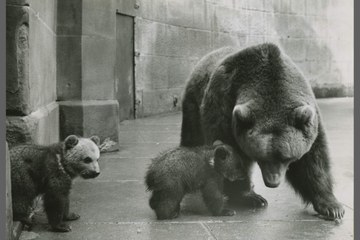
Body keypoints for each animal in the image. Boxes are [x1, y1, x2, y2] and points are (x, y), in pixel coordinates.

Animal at [181, 42, 344, 219]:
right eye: (261, 157)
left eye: (287, 158)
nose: (273, 182)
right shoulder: (223, 106)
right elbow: (228, 155)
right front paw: (249, 196)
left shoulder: (308, 118)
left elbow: (313, 160)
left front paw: (332, 207)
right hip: (193, 103)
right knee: (192, 137)